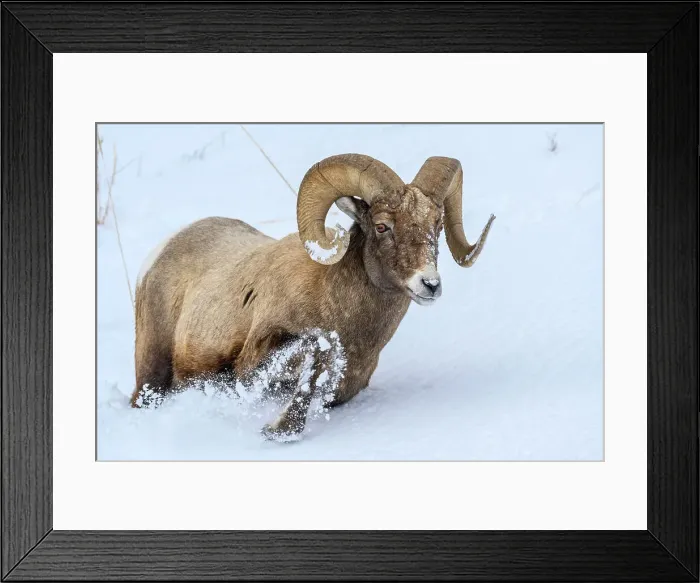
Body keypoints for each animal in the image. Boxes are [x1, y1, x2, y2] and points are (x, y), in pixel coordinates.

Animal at [131, 154, 495, 441]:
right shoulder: (252, 361)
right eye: (382, 226)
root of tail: (161, 251)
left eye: (437, 225)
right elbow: (318, 345)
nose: (429, 284)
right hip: (152, 376)